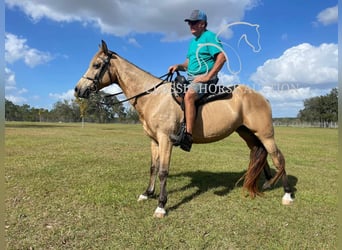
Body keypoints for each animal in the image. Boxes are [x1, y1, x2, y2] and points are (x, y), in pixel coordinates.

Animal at [74, 40, 294, 218]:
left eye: (96, 64)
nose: (78, 89)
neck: (153, 97)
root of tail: (262, 97)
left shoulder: (166, 140)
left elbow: (163, 171)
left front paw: (161, 206)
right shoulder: (154, 141)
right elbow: (153, 167)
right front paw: (147, 193)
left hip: (266, 134)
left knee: (278, 158)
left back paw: (287, 194)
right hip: (248, 134)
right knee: (261, 156)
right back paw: (265, 184)